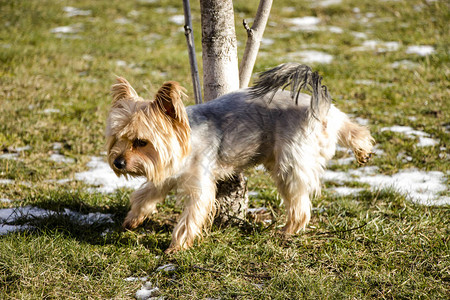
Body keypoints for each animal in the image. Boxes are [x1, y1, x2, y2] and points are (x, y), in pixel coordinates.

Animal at [106, 63, 376, 253]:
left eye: (141, 142)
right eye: (118, 138)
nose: (118, 163)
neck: (186, 141)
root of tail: (317, 109)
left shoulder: (198, 183)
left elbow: (191, 215)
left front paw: (177, 246)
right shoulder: (165, 171)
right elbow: (145, 194)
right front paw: (132, 220)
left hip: (289, 163)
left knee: (299, 206)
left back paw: (287, 231)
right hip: (327, 127)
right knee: (353, 128)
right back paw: (363, 150)